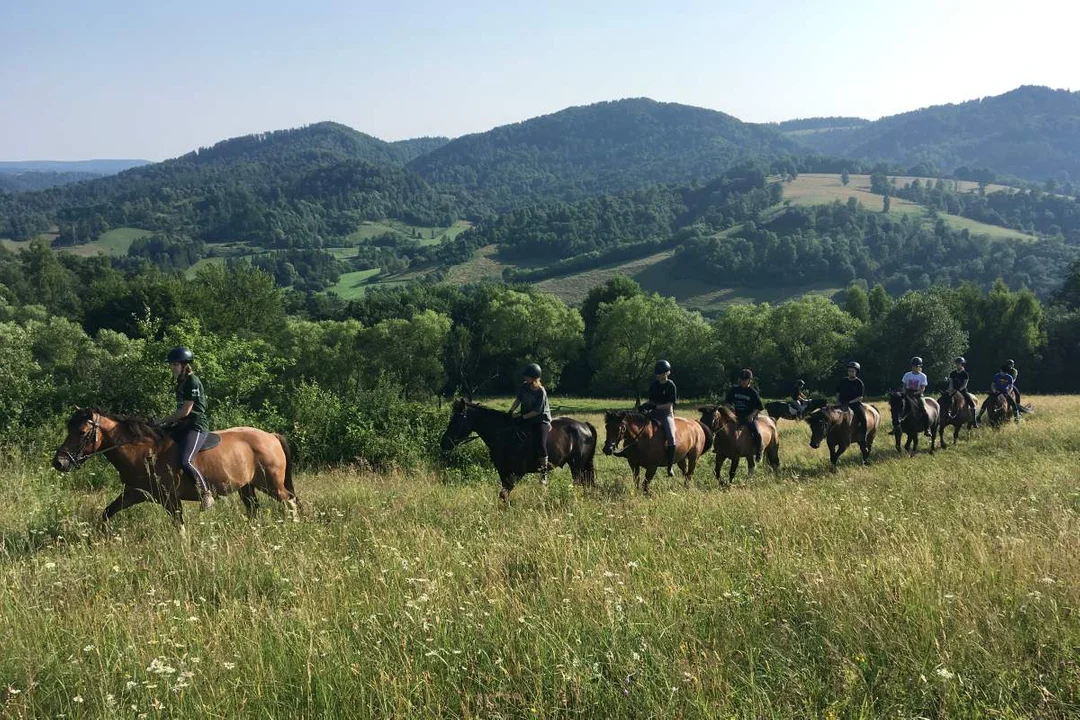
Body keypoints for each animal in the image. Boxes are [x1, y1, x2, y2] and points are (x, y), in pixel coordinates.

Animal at [53, 408, 300, 533]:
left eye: (82, 432)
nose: (59, 462)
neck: (143, 452)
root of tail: (270, 436)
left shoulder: (170, 498)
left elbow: (179, 525)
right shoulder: (134, 493)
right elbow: (107, 513)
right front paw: (101, 536)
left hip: (272, 484)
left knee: (289, 501)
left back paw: (294, 526)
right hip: (246, 486)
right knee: (253, 508)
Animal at [438, 399, 600, 500]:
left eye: (457, 419)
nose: (444, 443)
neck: (504, 435)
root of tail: (585, 426)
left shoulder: (517, 472)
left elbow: (504, 494)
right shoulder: (503, 471)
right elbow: (503, 495)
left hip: (577, 466)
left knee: (579, 484)